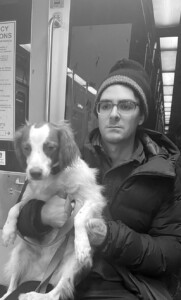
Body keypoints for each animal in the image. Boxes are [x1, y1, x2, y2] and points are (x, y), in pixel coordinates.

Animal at [1, 121, 106, 300]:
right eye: (26, 147)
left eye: (50, 147)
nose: (35, 173)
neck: (53, 177)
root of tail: (41, 275)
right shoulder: (31, 198)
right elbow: (14, 208)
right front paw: (8, 232)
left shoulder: (93, 198)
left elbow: (78, 217)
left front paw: (82, 244)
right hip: (20, 253)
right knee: (13, 285)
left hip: (72, 264)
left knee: (54, 293)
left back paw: (33, 295)